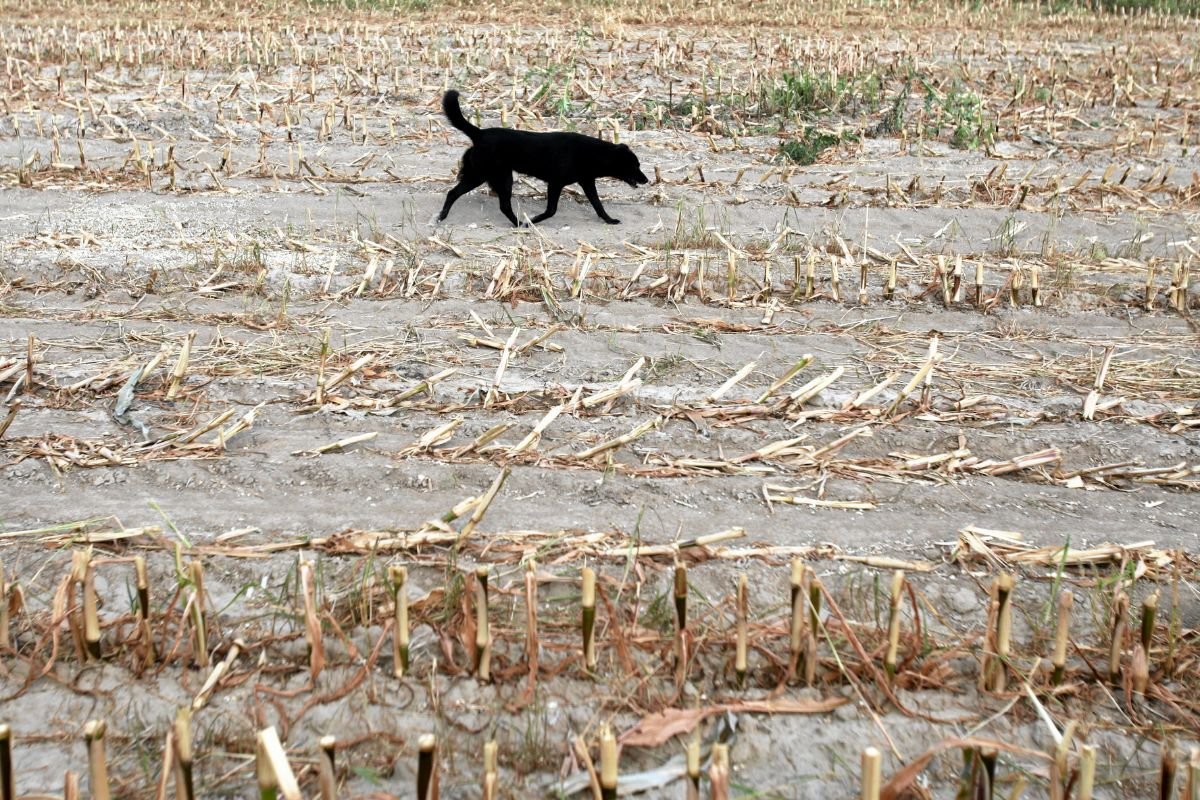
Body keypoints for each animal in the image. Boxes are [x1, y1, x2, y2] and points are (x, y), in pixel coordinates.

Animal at [439, 91, 652, 226]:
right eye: (635, 165)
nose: (647, 180)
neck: (592, 153)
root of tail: (480, 133)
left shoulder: (587, 182)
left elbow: (598, 205)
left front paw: (609, 220)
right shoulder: (555, 183)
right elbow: (551, 210)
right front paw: (534, 220)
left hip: (485, 175)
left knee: (459, 194)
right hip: (492, 176)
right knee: (495, 203)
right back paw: (520, 224)